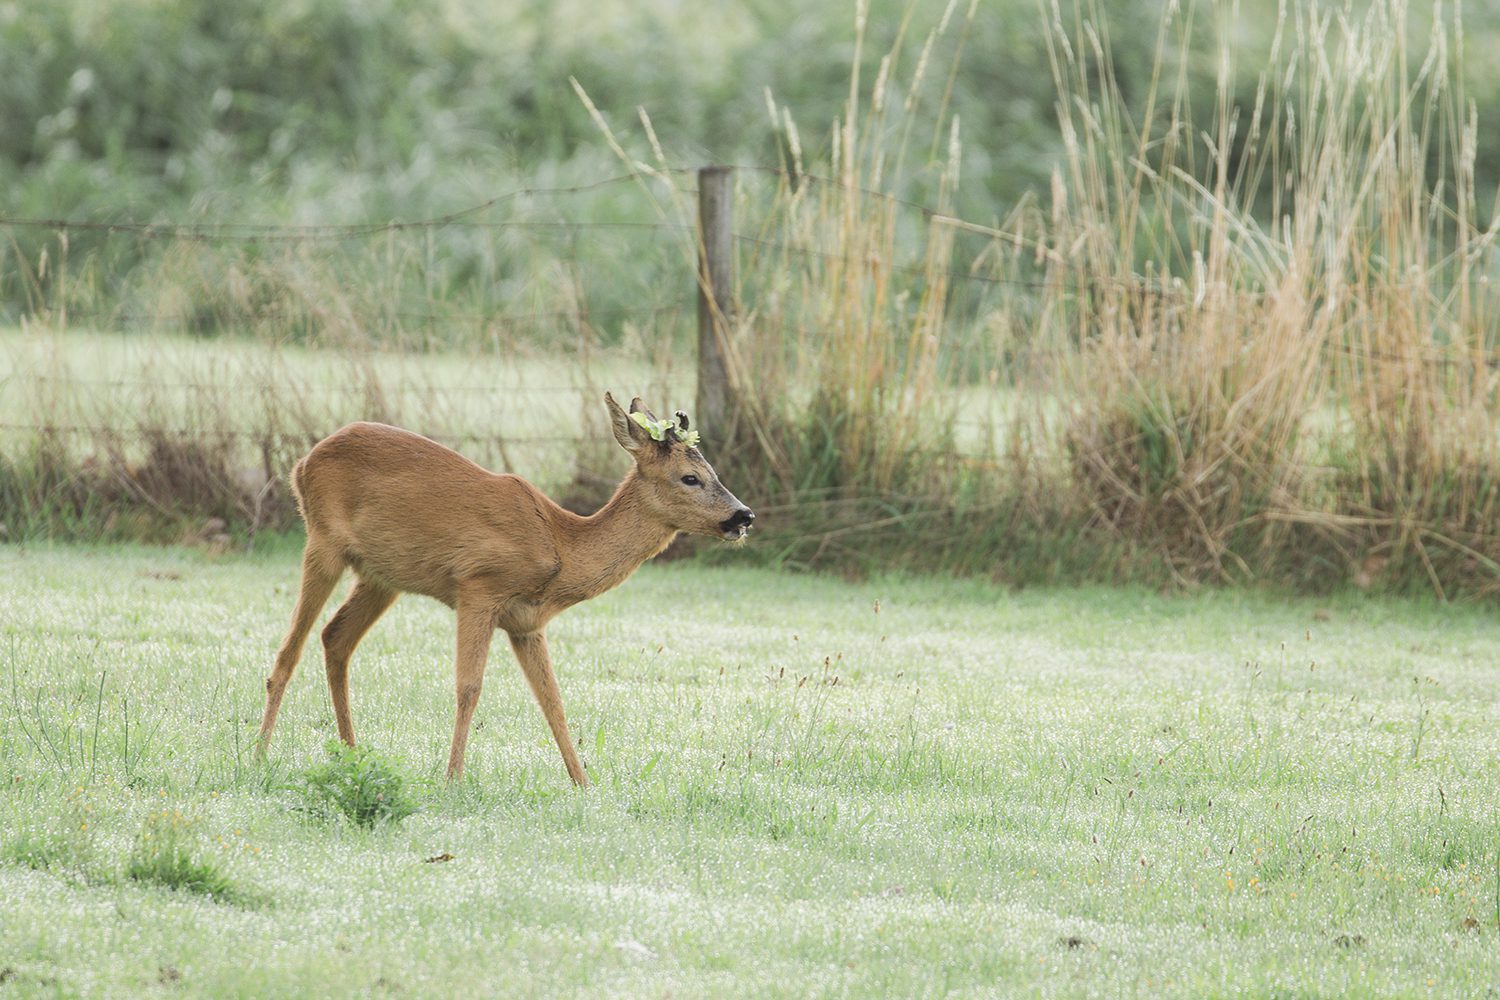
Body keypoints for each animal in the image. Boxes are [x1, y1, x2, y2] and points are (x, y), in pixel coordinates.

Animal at [255, 389, 762, 779]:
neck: (562, 546)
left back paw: (351, 755)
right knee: (289, 650)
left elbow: (554, 702)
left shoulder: (527, 624)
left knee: (335, 638)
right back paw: (259, 755)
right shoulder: (478, 586)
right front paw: (453, 778)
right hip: (323, 542)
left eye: (714, 473)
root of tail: (303, 462)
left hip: (381, 576)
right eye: (690, 477)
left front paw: (584, 785)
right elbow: (469, 687)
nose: (743, 516)